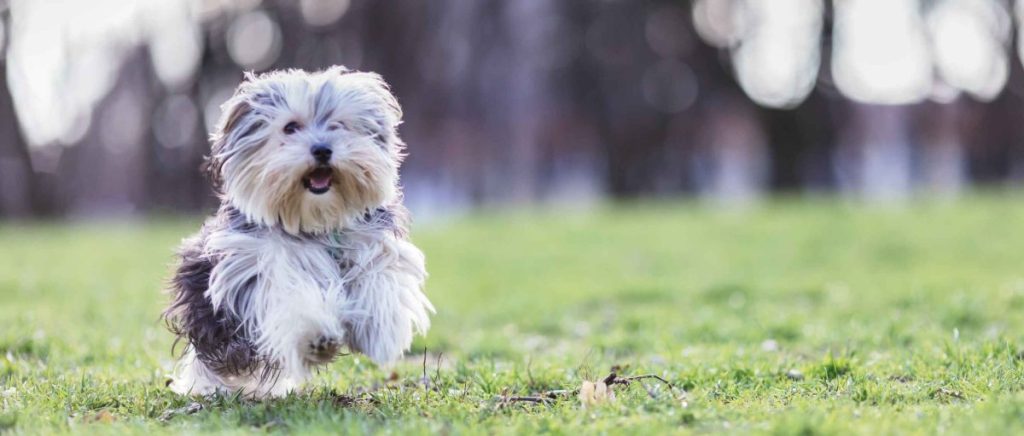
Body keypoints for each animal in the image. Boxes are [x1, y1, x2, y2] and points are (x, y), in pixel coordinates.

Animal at [162, 66, 432, 397]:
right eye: (290, 127)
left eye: (338, 124)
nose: (322, 149)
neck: (317, 222)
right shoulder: (263, 262)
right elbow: (292, 297)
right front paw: (316, 338)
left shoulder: (372, 244)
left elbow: (380, 277)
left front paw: (379, 329)